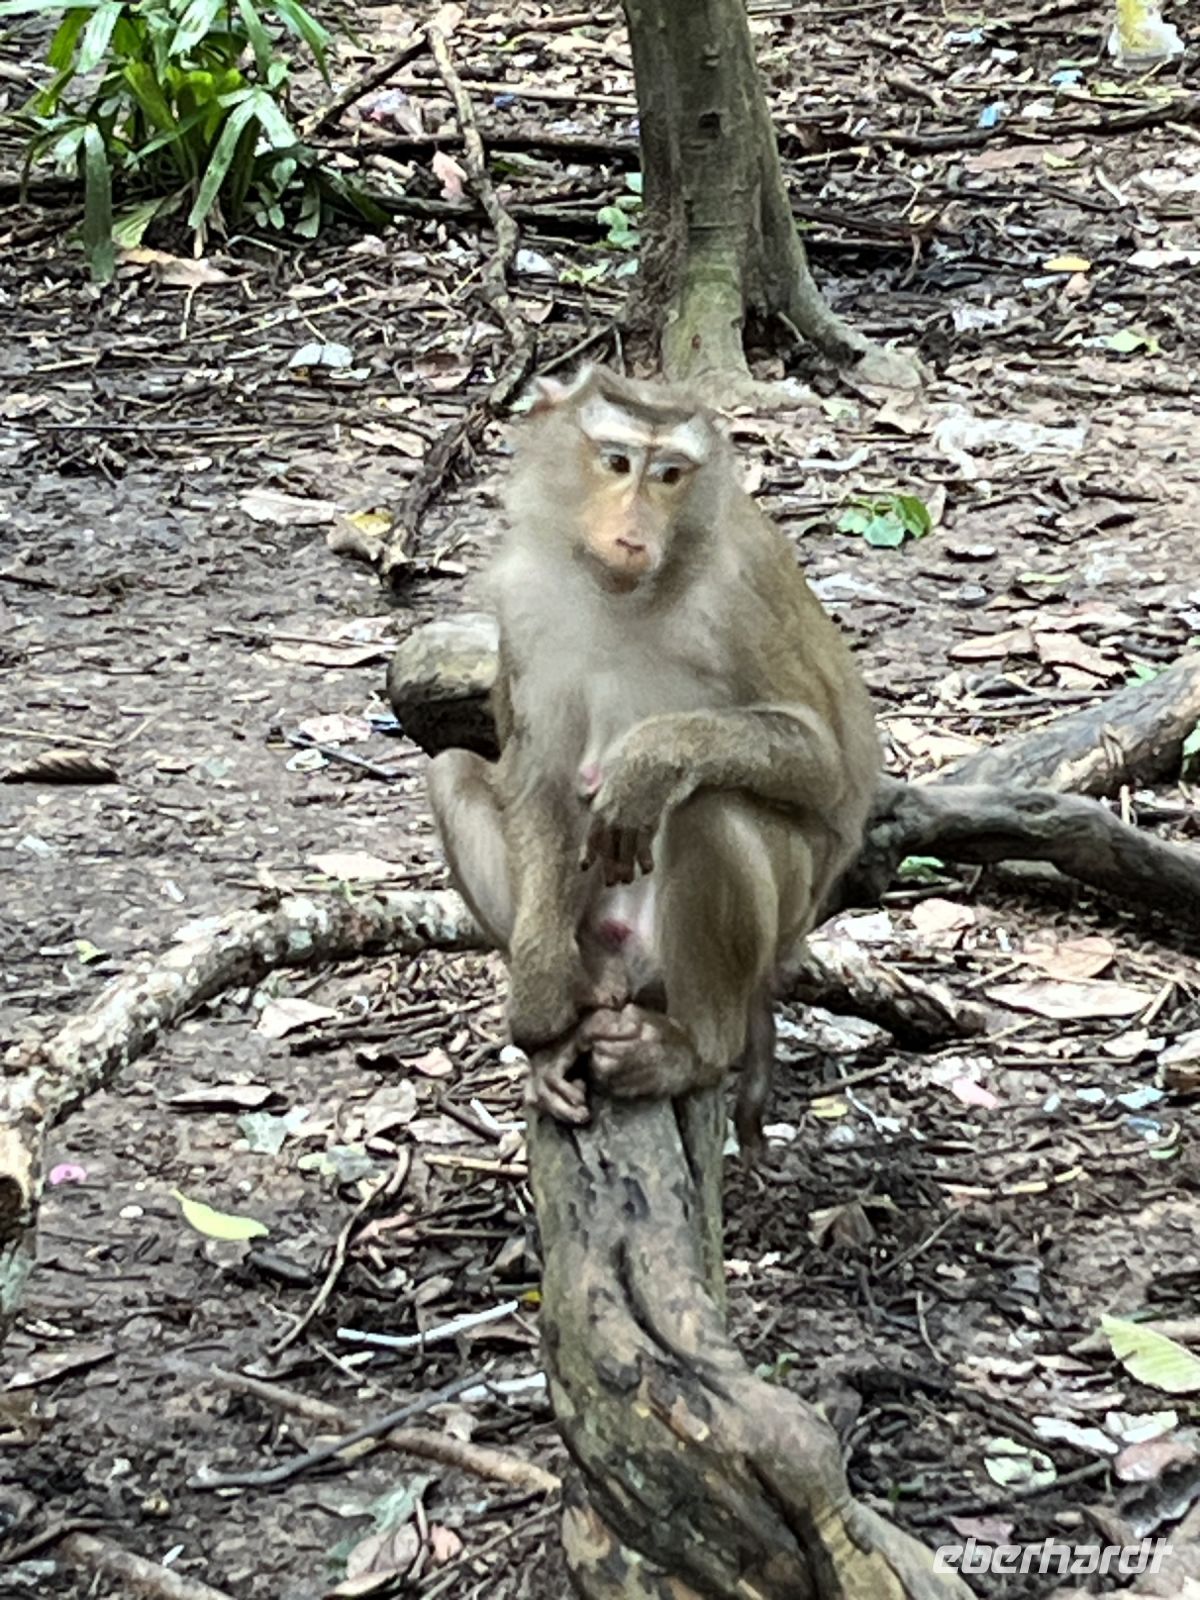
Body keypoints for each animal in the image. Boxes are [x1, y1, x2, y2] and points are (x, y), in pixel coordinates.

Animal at [426, 365, 880, 1152]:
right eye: (616, 462)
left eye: (669, 475)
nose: (633, 532)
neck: (628, 595)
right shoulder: (523, 601)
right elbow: (538, 774)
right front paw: (539, 999)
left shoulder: (740, 589)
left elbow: (829, 766)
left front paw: (650, 763)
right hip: (599, 938)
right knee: (451, 772)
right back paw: (569, 1026)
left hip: (766, 930)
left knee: (712, 810)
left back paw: (694, 1051)